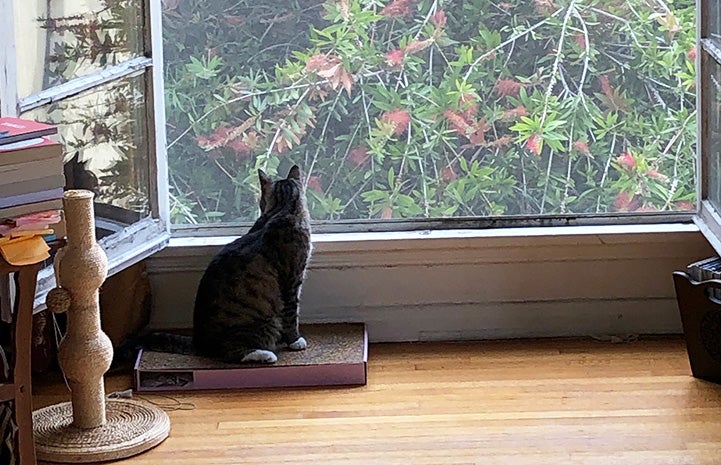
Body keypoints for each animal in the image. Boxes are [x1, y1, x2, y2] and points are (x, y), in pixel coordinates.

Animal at [191, 165, 312, 364]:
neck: (283, 208)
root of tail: (200, 344)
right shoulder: (292, 281)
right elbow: (291, 314)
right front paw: (295, 341)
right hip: (267, 321)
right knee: (230, 352)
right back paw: (265, 354)